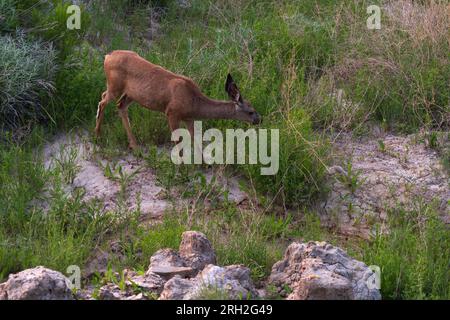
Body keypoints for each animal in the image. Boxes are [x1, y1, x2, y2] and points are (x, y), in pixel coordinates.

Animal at [96, 50, 262, 150]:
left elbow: (196, 140)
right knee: (103, 100)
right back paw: (97, 135)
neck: (195, 102)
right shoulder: (172, 112)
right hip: (114, 86)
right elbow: (178, 142)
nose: (259, 119)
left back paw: (134, 145)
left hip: (131, 95)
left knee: (120, 106)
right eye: (250, 111)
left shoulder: (189, 118)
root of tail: (108, 56)